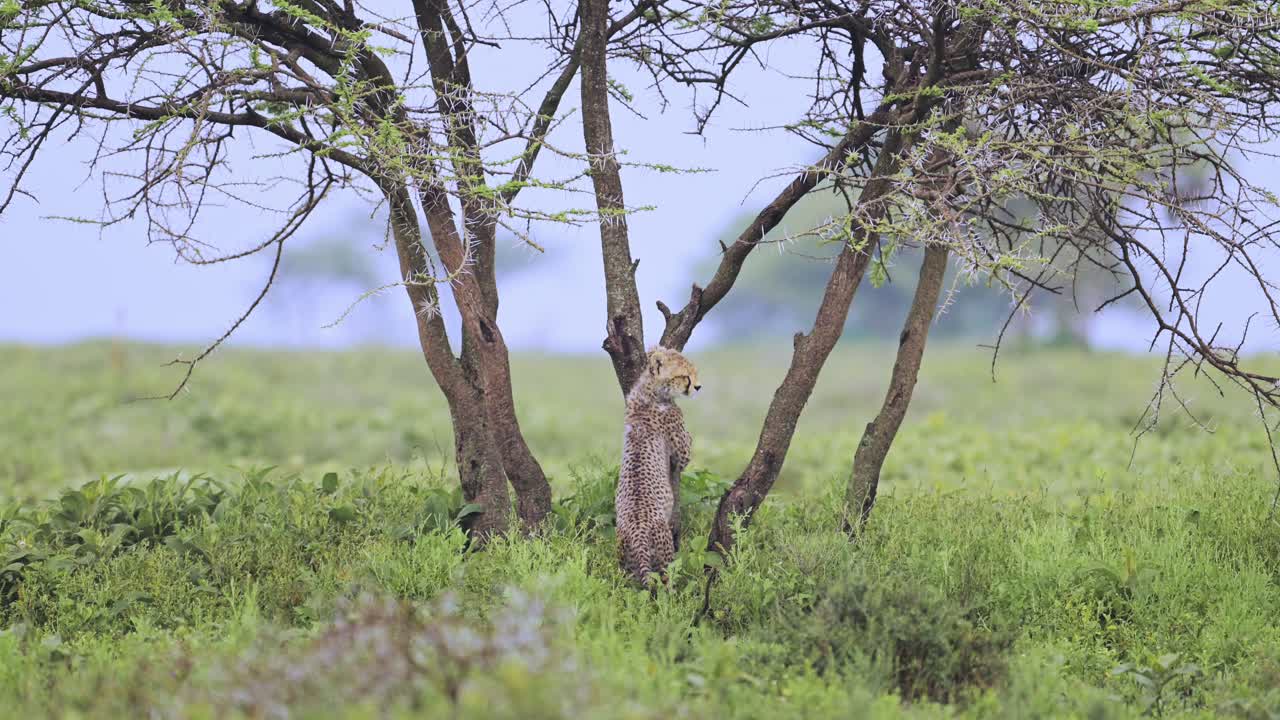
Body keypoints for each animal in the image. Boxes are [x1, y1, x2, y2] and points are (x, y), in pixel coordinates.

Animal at [616, 346, 700, 587]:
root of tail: (638, 531)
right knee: (666, 580)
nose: (698, 387)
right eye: (685, 376)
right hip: (665, 552)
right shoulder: (680, 451)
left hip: (625, 561)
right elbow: (686, 451)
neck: (650, 391)